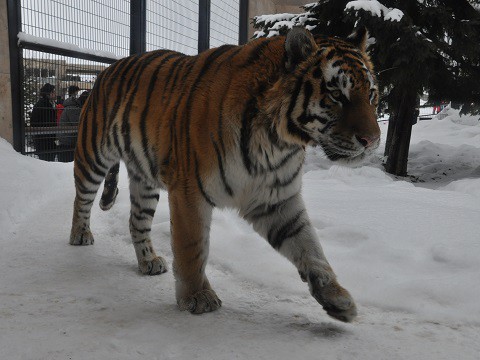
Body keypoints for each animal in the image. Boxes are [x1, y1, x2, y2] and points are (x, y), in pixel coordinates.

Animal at [69, 26, 380, 322]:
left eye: (372, 95)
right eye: (336, 94)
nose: (372, 140)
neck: (280, 140)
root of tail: (109, 67)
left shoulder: (275, 198)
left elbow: (310, 248)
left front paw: (336, 297)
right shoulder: (189, 192)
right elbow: (192, 247)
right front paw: (197, 297)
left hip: (145, 182)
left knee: (137, 222)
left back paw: (149, 261)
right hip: (93, 155)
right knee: (81, 199)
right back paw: (80, 235)